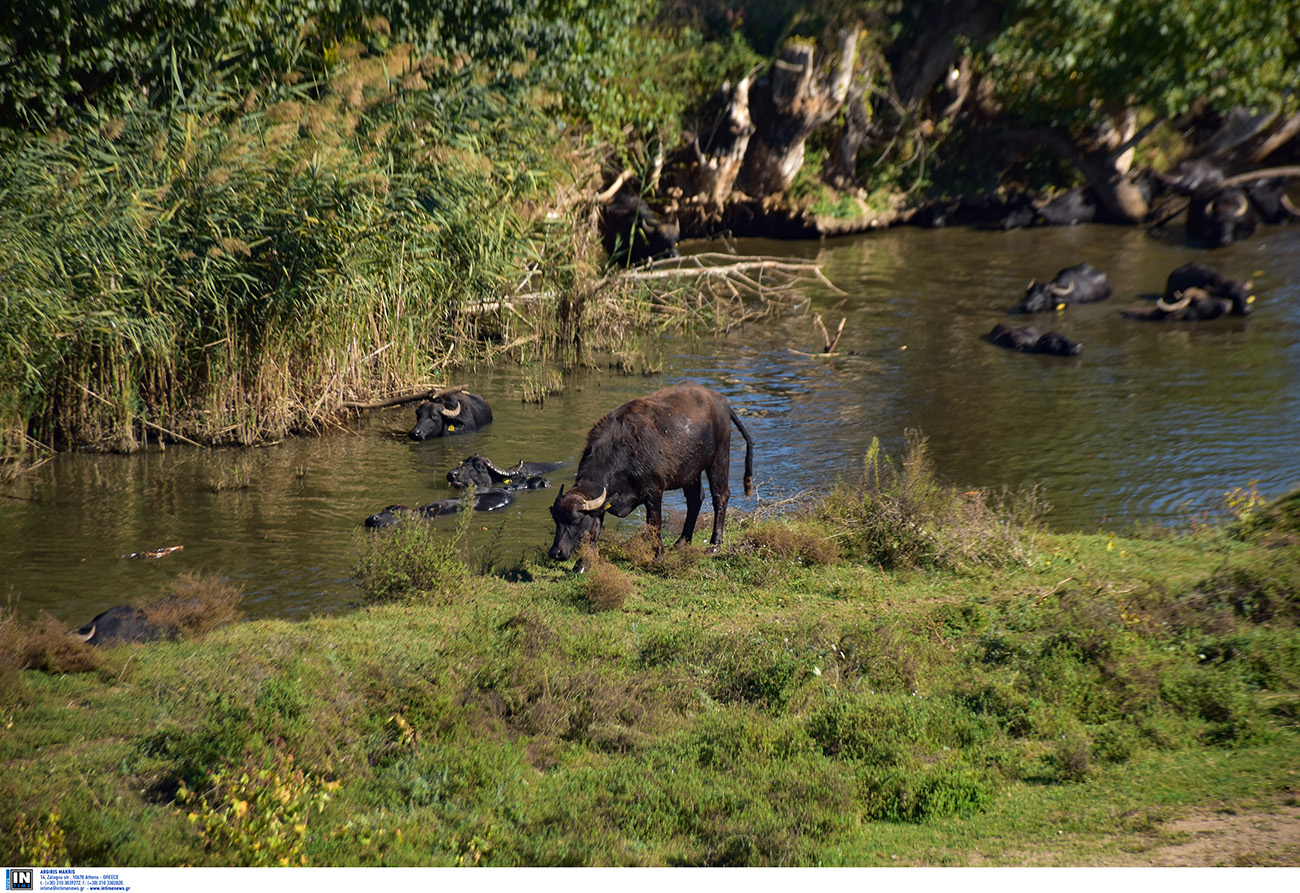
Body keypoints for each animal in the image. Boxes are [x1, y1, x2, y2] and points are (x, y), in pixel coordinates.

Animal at [546, 379, 754, 566]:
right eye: (556, 519)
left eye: (575, 519)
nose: (555, 552)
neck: (623, 454)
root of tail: (720, 401)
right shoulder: (602, 504)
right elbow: (593, 532)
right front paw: (582, 564)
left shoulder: (653, 492)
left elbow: (653, 524)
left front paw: (658, 555)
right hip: (691, 471)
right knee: (695, 499)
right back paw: (681, 542)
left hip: (719, 458)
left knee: (720, 496)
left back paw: (714, 544)